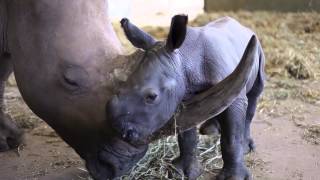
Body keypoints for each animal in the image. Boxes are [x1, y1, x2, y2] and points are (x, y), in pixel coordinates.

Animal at [107, 15, 264, 180]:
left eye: (152, 97)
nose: (120, 130)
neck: (186, 60)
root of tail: (242, 26)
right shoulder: (184, 95)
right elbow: (187, 136)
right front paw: (182, 172)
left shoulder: (235, 97)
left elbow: (232, 138)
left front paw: (233, 177)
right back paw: (211, 129)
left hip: (256, 53)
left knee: (254, 95)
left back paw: (247, 147)